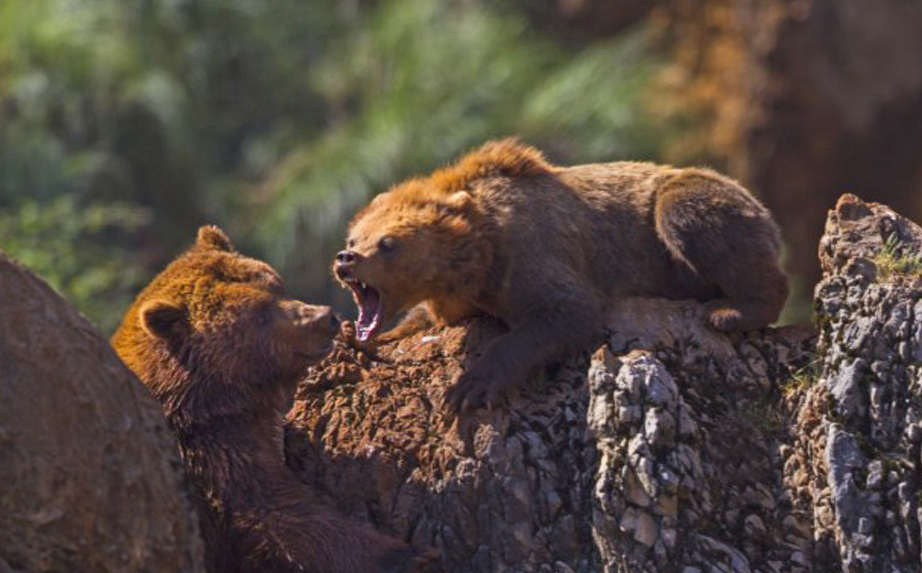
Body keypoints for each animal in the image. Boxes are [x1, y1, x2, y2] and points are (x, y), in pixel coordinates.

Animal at [112, 226, 432, 572]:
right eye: (259, 316)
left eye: (276, 285)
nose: (325, 318)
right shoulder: (213, 455)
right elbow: (282, 517)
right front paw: (408, 554)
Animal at [330, 139, 784, 412]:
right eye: (355, 234)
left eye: (388, 243)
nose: (346, 258)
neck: (478, 259)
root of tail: (764, 208)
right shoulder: (460, 297)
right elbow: (422, 320)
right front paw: (369, 337)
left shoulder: (530, 254)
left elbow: (566, 314)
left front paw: (469, 388)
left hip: (692, 211)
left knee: (687, 215)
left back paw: (730, 311)